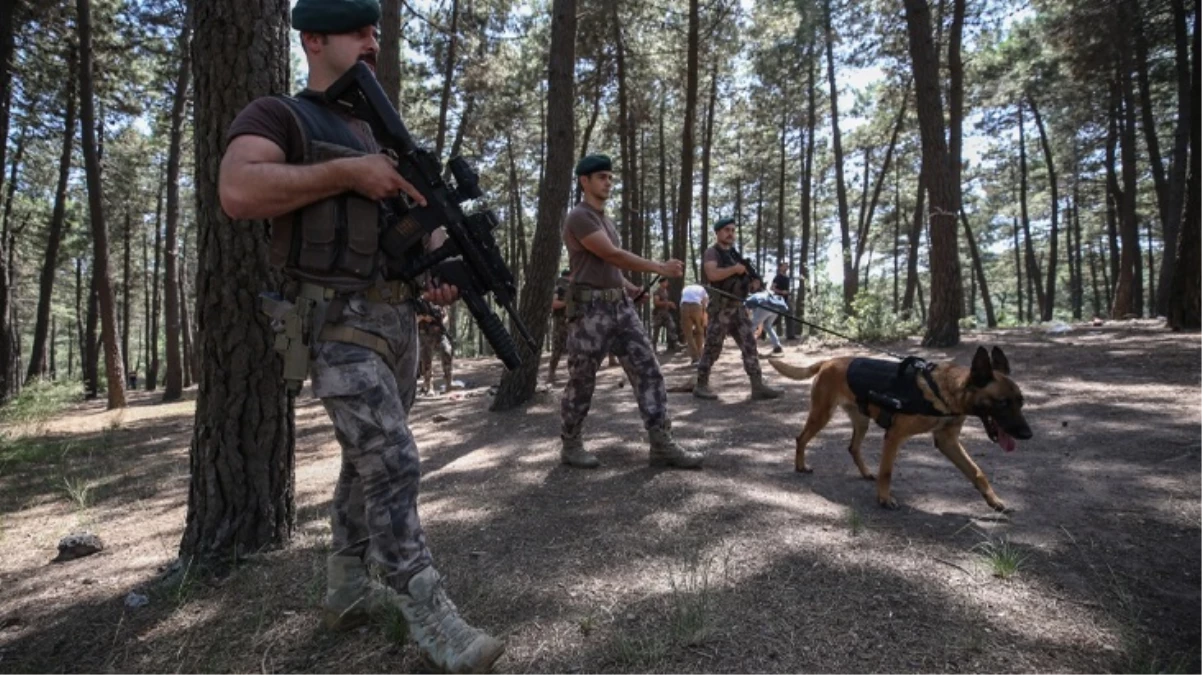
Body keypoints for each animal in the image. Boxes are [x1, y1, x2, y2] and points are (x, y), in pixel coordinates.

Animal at [769, 345, 1033, 509]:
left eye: (1021, 402)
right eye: (1002, 403)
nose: (1027, 434)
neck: (943, 392)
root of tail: (829, 361)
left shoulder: (948, 441)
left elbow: (976, 471)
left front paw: (993, 500)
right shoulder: (894, 436)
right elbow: (887, 472)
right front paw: (885, 499)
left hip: (861, 421)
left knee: (853, 447)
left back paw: (866, 472)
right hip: (821, 415)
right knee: (801, 438)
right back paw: (800, 466)